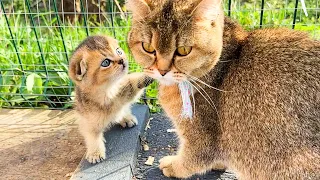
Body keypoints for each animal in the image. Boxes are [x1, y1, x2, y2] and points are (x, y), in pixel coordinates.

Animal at [68, 35, 152, 165]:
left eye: (118, 51)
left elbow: (134, 83)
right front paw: (95, 153)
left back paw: (127, 118)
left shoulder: (124, 90)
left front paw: (149, 74)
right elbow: (93, 137)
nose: (122, 60)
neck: (108, 93)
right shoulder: (88, 122)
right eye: (106, 62)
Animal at [126, 0, 318, 179]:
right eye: (148, 48)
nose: (162, 71)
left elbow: (190, 160)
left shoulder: (201, 140)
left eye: (183, 50)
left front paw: (173, 166)